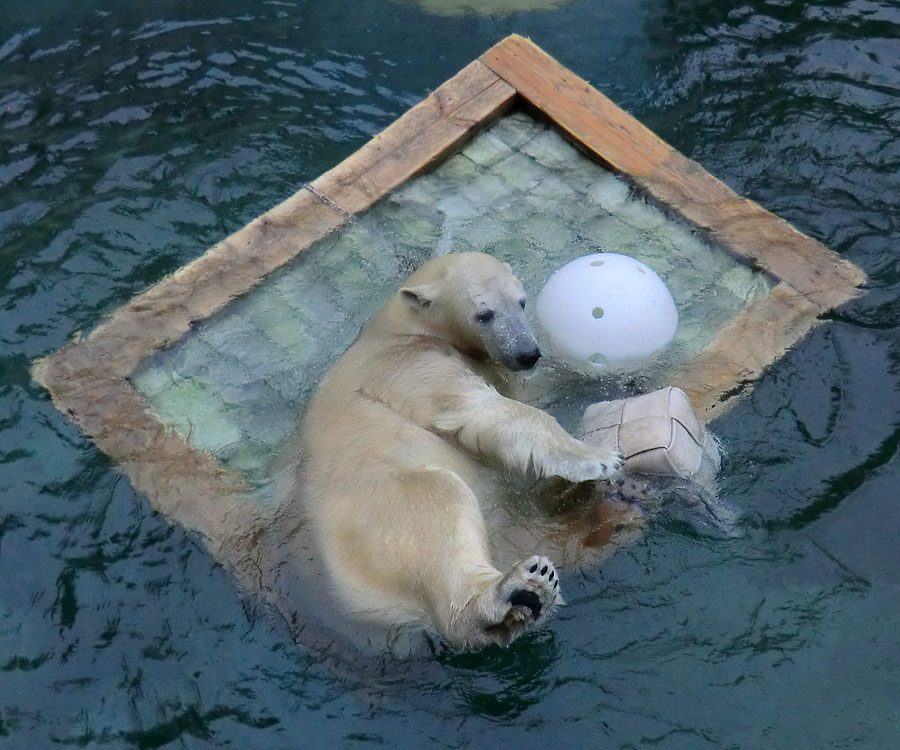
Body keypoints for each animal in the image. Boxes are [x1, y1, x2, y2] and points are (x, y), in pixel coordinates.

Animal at [298, 254, 624, 652]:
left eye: (521, 302)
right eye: (484, 314)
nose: (527, 353)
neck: (401, 328)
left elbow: (525, 392)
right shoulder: (411, 367)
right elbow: (486, 411)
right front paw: (598, 458)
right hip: (373, 515)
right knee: (436, 507)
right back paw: (515, 590)